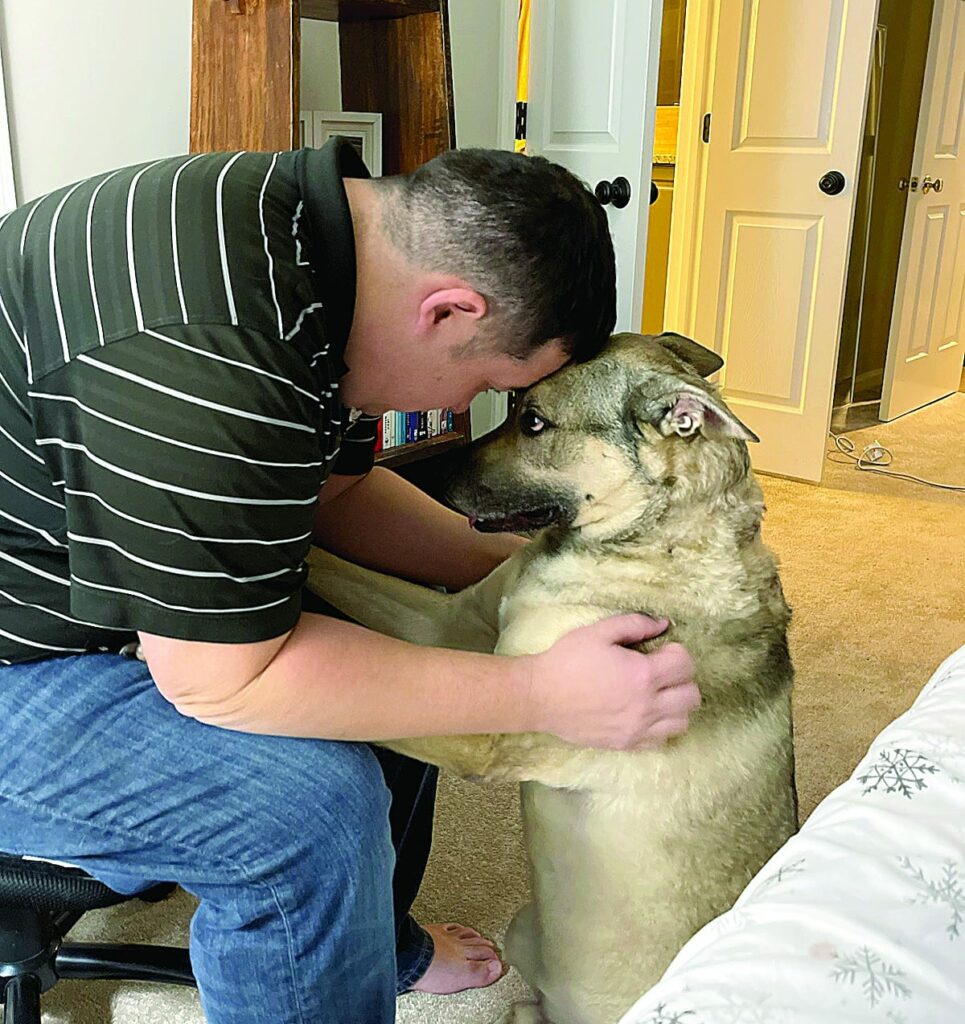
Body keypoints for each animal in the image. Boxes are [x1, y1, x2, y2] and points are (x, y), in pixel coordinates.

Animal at [305, 333, 799, 1024]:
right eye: (513, 405)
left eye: (534, 422)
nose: (434, 478)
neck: (652, 537)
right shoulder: (448, 623)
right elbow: (334, 567)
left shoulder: (489, 726)